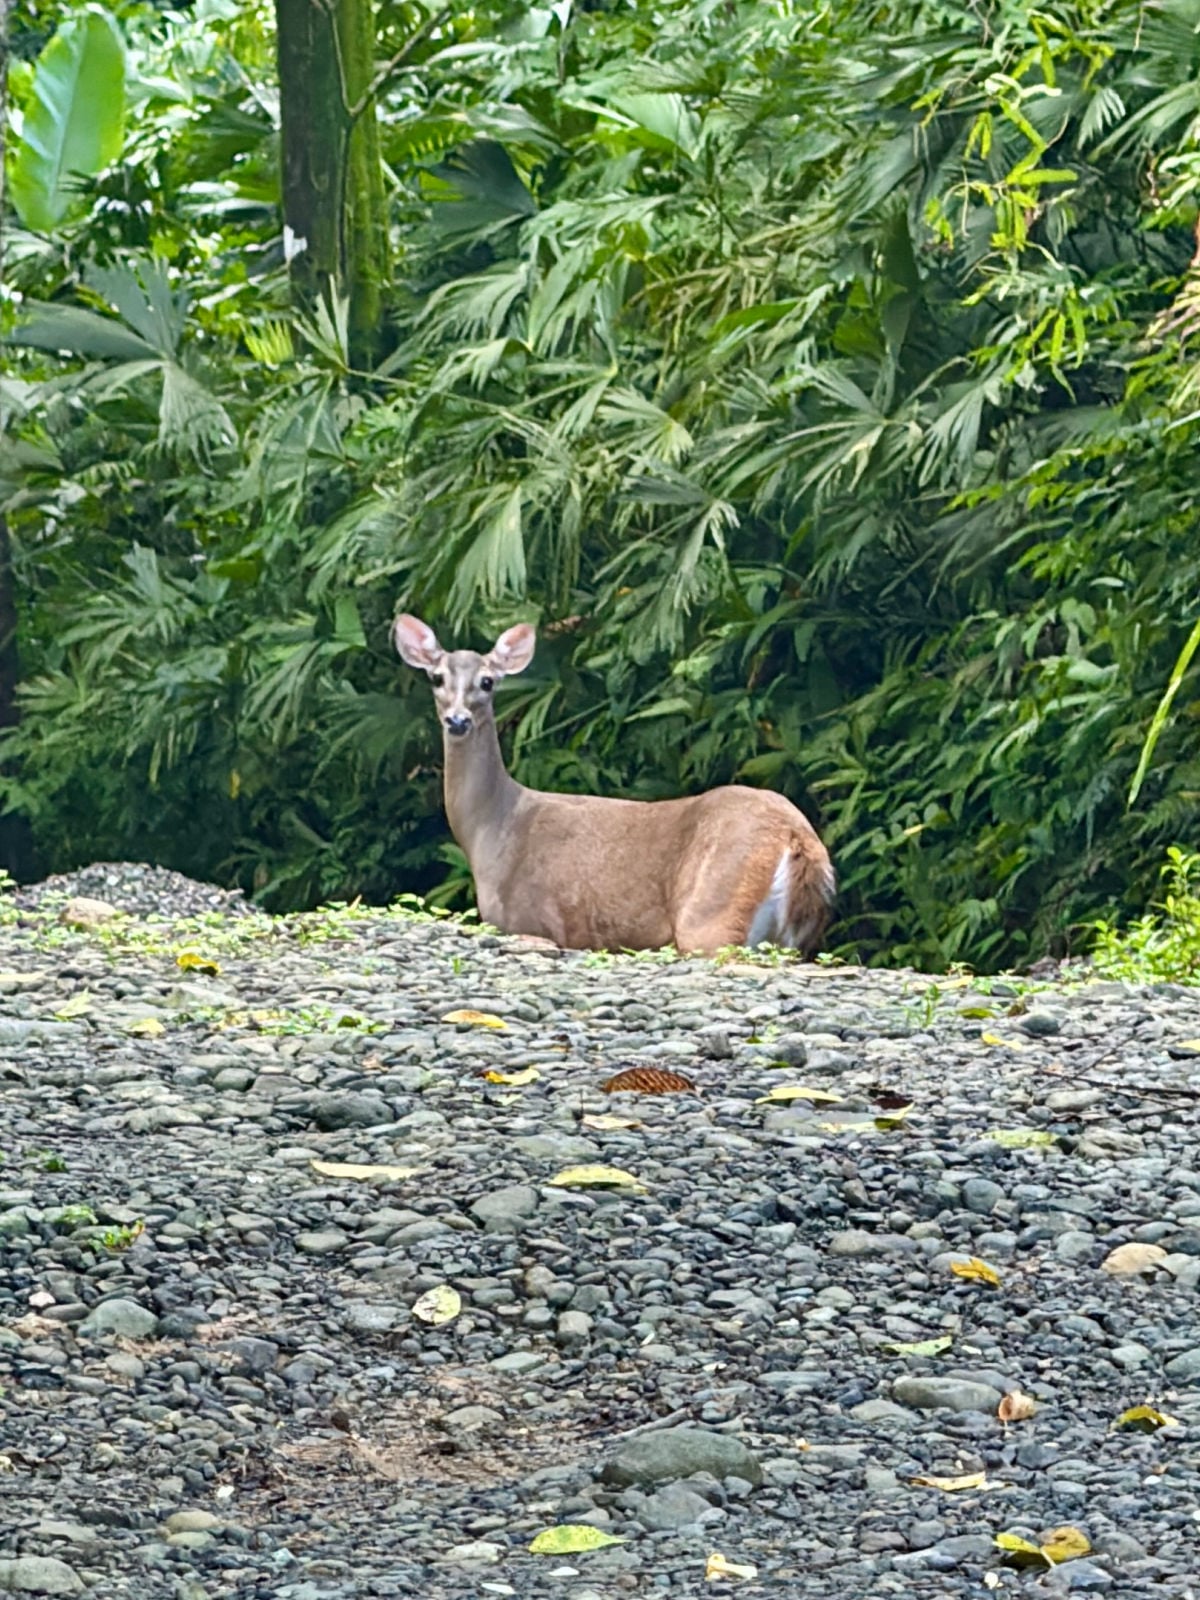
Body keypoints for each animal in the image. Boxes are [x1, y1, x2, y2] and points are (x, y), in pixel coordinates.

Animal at [394, 614, 835, 957]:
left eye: (487, 682)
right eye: (436, 678)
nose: (458, 720)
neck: (492, 830)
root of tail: (797, 837)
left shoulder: (534, 920)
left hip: (713, 911)